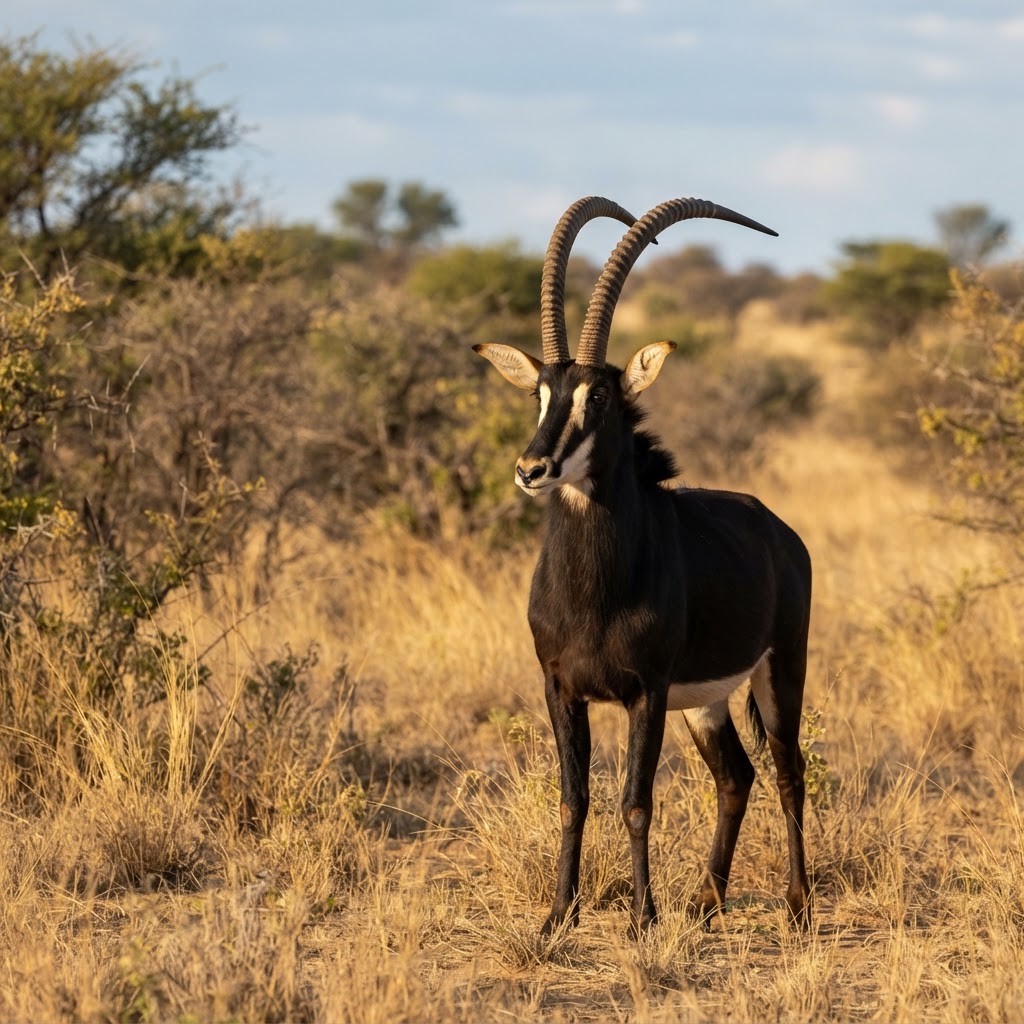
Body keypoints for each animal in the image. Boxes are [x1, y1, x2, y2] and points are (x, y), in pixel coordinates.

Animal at [474, 196, 812, 937]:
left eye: (597, 398)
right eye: (540, 394)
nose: (531, 468)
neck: (593, 591)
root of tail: (780, 531)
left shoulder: (646, 692)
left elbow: (635, 800)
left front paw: (642, 919)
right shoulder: (560, 688)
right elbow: (573, 798)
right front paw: (559, 916)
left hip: (779, 672)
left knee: (787, 770)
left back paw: (800, 907)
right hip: (706, 702)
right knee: (735, 776)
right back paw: (707, 901)